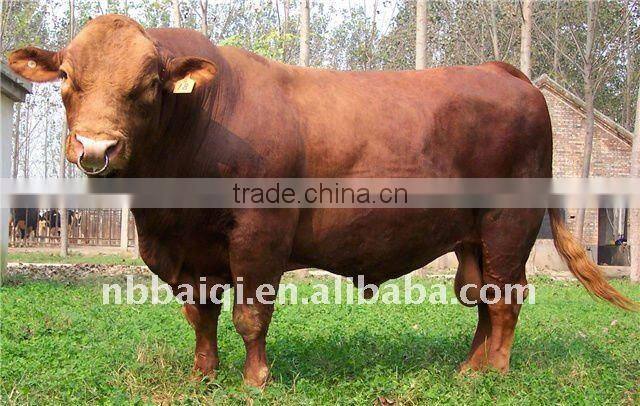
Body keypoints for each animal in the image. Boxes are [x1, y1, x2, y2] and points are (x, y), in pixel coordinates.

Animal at [9, 15, 637, 388]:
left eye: (145, 87)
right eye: (66, 79)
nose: (96, 147)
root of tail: (507, 73)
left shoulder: (259, 232)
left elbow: (250, 313)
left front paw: (254, 380)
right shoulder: (186, 251)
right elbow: (201, 315)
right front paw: (203, 375)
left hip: (510, 224)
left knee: (505, 298)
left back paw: (495, 373)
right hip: (473, 237)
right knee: (481, 296)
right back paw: (469, 367)